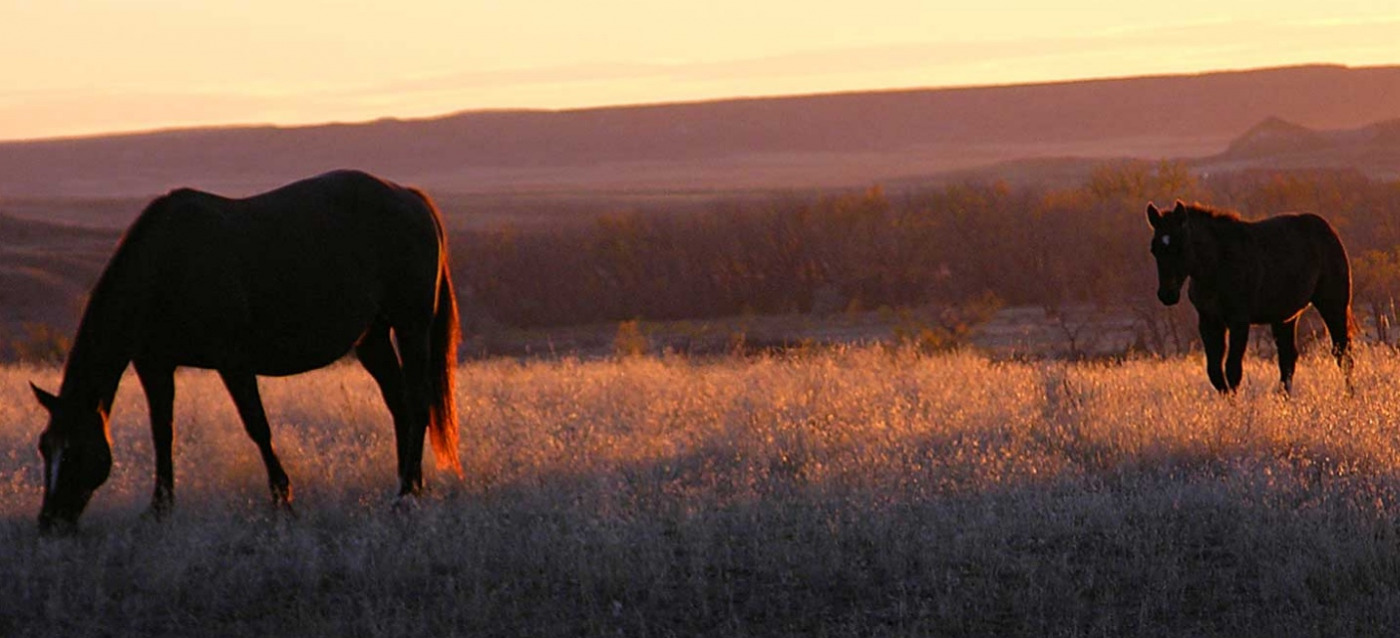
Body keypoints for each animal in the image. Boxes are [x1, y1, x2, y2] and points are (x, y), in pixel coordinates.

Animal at [29, 170, 461, 533]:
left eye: (73, 453)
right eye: (44, 447)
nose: (49, 523)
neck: (167, 266)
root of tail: (410, 197)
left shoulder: (233, 361)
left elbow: (257, 426)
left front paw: (283, 500)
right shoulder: (155, 365)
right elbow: (162, 432)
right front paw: (159, 508)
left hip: (411, 326)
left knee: (418, 402)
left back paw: (405, 496)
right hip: (372, 338)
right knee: (400, 404)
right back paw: (410, 485)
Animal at [1145, 200, 1353, 394]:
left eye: (1180, 246)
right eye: (1154, 249)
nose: (1167, 294)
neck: (1218, 264)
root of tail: (1328, 230)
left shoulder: (1239, 321)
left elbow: (1232, 370)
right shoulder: (1209, 321)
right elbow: (1215, 372)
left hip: (1333, 305)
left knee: (1343, 353)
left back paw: (1349, 396)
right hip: (1285, 317)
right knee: (1288, 359)